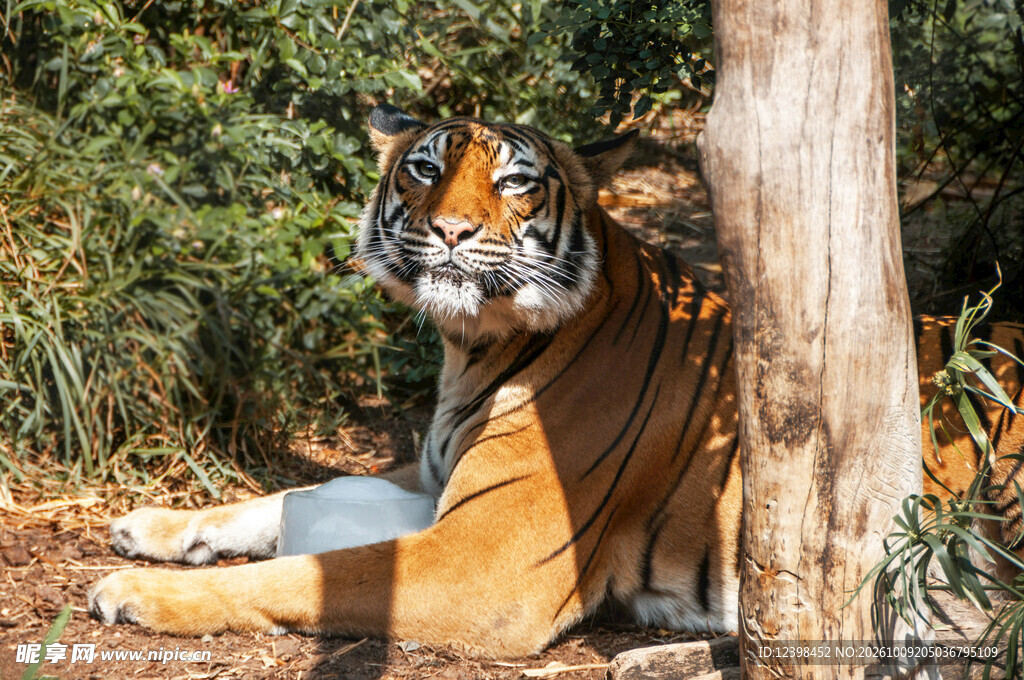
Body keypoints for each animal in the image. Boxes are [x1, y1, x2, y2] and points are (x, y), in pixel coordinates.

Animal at [88, 105, 1024, 658]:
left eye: (513, 181)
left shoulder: (485, 561)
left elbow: (312, 572)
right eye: (424, 169)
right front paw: (154, 527)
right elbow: (283, 497)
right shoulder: (432, 474)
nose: (452, 231)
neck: (470, 347)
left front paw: (134, 592)